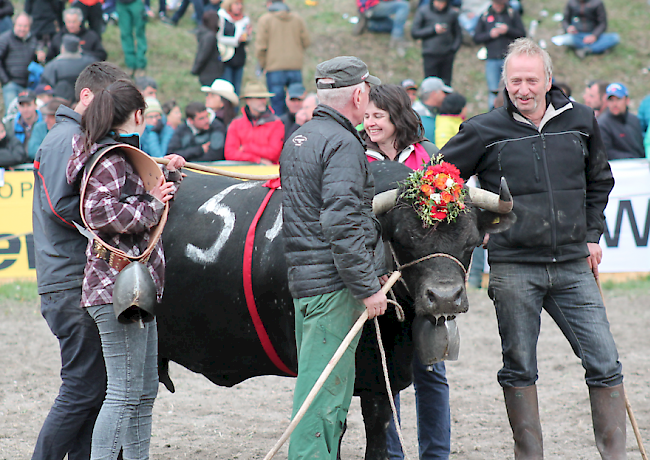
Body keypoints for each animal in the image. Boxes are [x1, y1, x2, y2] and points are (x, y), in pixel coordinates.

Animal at [157, 160, 512, 458]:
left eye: (472, 240)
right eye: (403, 238)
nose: (444, 297)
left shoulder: (380, 379)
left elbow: (378, 432)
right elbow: (328, 426)